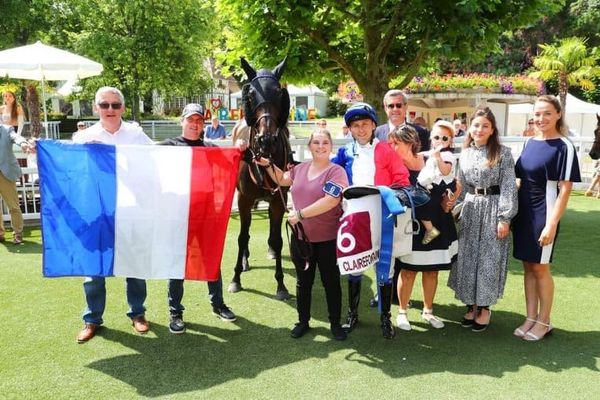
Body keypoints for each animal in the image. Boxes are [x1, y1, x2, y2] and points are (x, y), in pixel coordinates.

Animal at [227, 57, 292, 300]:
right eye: (251, 94)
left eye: (279, 93)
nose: (267, 139)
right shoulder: (244, 199)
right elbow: (242, 237)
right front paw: (236, 278)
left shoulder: (279, 200)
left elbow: (278, 239)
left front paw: (281, 284)